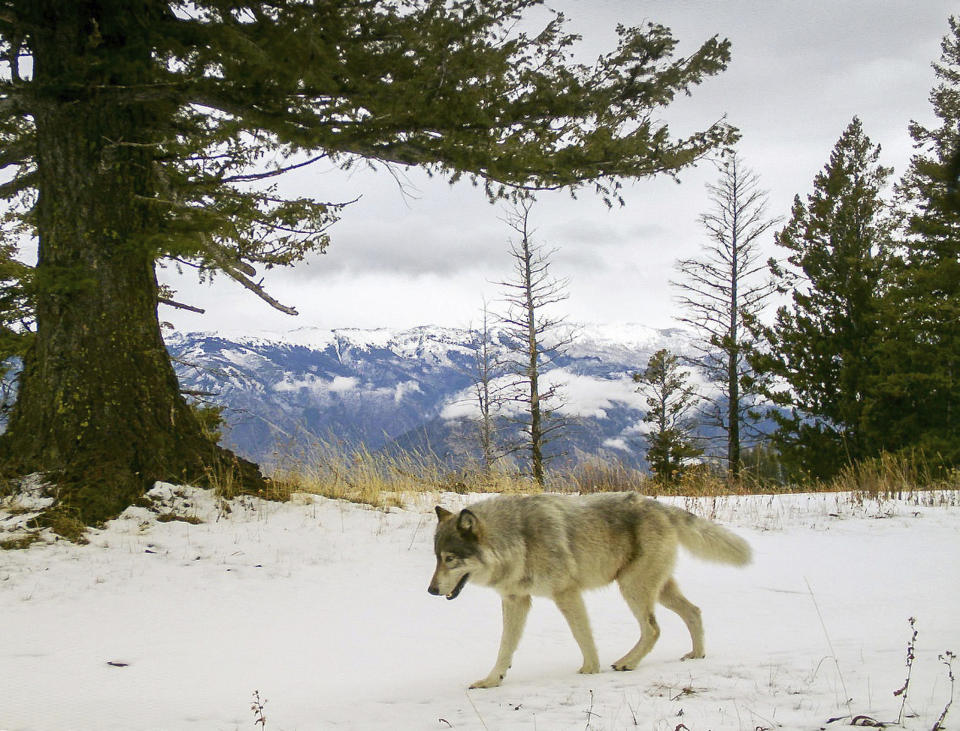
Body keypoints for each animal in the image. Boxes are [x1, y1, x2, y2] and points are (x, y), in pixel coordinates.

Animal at [428, 494, 752, 688]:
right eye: (436, 558)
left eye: (450, 559)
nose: (430, 590)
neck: (518, 540)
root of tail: (660, 505)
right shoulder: (516, 600)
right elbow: (505, 647)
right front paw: (491, 680)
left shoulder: (566, 593)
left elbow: (582, 635)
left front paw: (590, 669)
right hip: (658, 590)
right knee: (694, 612)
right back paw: (697, 654)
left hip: (632, 588)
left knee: (653, 628)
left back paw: (627, 662)